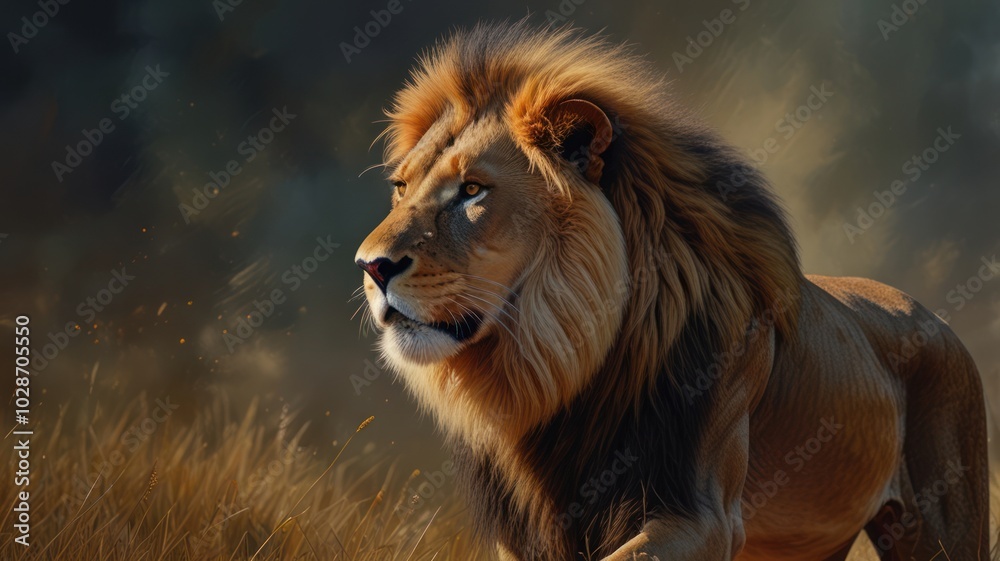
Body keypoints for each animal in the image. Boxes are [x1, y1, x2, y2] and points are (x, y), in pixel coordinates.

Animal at [354, 21, 991, 560]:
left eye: (472, 190)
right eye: (401, 187)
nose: (371, 266)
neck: (554, 373)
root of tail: (934, 318)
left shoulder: (703, 516)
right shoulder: (528, 536)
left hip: (944, 526)